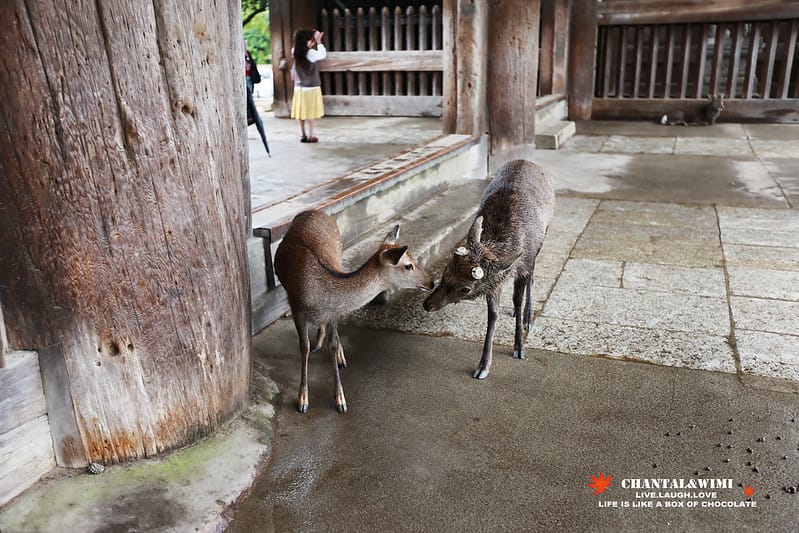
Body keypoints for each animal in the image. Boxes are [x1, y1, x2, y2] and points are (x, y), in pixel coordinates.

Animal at [274, 209, 434, 413]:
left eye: (415, 259)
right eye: (408, 265)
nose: (431, 282)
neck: (320, 299)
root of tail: (313, 211)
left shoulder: (333, 313)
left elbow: (333, 345)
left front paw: (340, 399)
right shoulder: (296, 307)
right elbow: (304, 347)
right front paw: (303, 400)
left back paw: (337, 354)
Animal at [423, 159, 555, 380]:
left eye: (466, 289)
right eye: (446, 270)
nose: (427, 304)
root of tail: (527, 161)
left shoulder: (524, 264)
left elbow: (518, 299)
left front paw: (519, 347)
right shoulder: (494, 283)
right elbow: (493, 315)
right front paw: (483, 365)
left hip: (543, 238)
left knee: (533, 278)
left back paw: (528, 317)